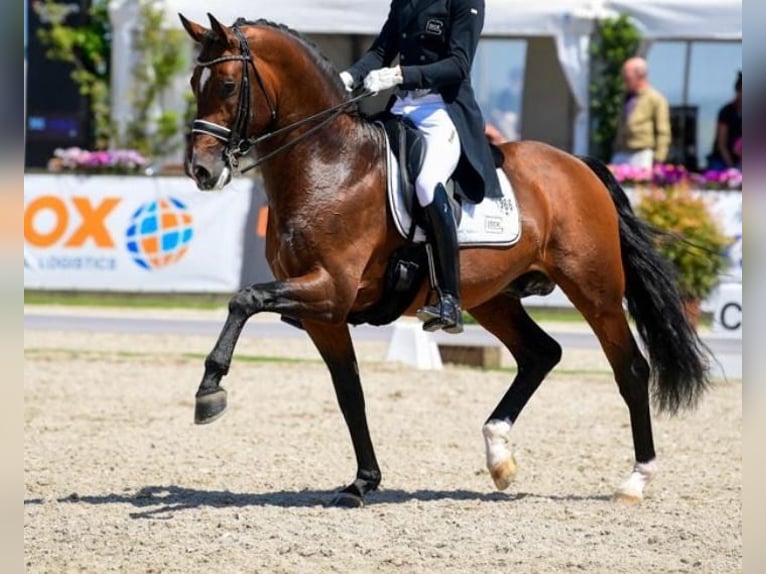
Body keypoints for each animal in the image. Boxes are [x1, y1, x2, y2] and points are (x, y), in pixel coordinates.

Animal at [179, 13, 709, 508]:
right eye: (193, 85)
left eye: (227, 84)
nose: (201, 171)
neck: (330, 164)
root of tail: (579, 165)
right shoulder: (323, 314)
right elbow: (350, 392)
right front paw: (362, 483)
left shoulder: (330, 289)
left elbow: (244, 299)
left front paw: (209, 391)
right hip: (494, 298)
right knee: (541, 354)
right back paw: (498, 456)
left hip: (595, 290)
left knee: (631, 369)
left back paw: (635, 480)